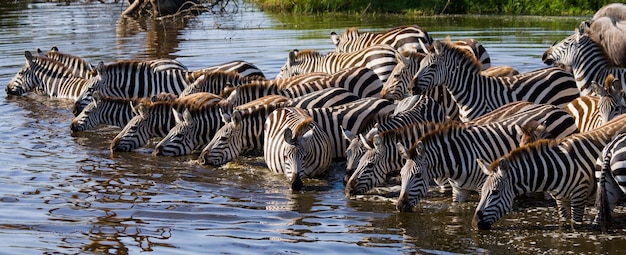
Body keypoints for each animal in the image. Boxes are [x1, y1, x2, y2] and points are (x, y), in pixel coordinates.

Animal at [470, 114, 624, 230]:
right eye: (482, 192)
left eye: (495, 192)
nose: (475, 224)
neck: (556, 167)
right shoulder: (561, 200)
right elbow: (564, 222)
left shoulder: (579, 196)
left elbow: (575, 224)